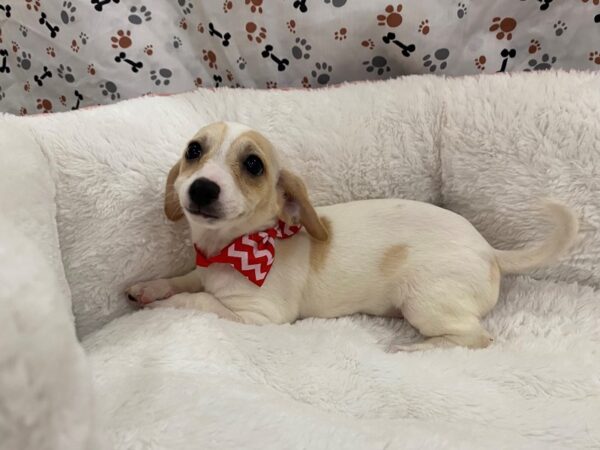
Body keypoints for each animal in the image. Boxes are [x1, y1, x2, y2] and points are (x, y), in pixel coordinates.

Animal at [125, 122, 576, 352]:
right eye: (193, 151)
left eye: (253, 164)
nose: (202, 188)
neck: (228, 250)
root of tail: (490, 251)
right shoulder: (202, 271)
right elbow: (184, 280)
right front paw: (149, 287)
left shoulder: (259, 317)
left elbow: (198, 301)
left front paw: (163, 305)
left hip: (426, 302)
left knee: (475, 338)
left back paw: (415, 348)